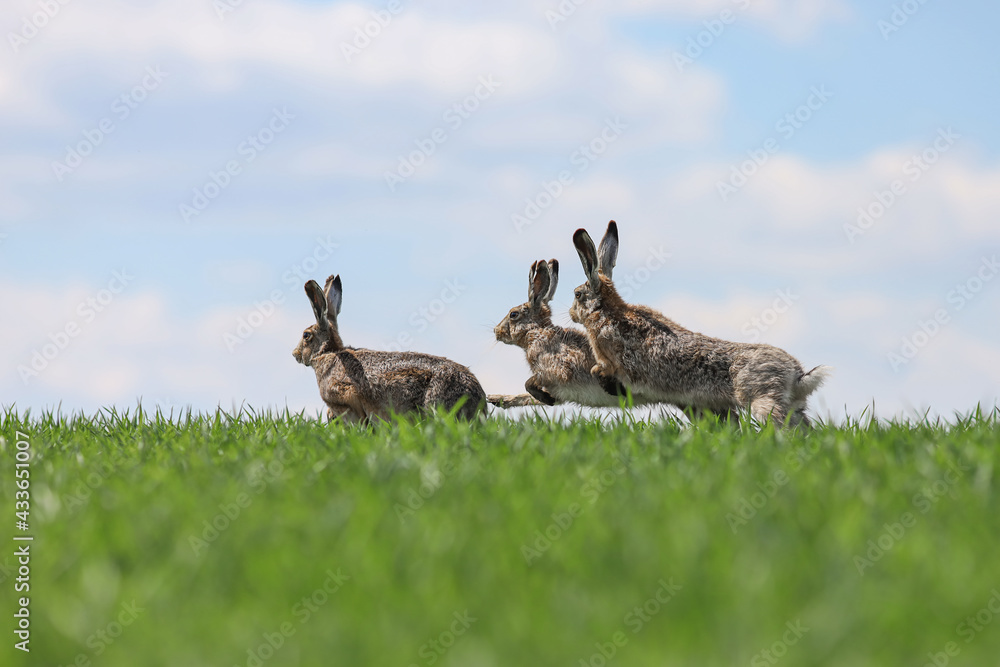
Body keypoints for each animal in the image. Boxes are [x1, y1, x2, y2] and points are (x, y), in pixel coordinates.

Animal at [494, 258, 653, 407]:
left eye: (513, 314)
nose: (496, 331)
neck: (536, 332)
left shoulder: (555, 370)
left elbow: (529, 383)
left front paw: (546, 398)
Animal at [569, 221, 831, 427]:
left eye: (577, 294)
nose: (571, 313)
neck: (604, 312)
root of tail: (796, 375)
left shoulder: (612, 358)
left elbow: (604, 370)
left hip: (761, 399)